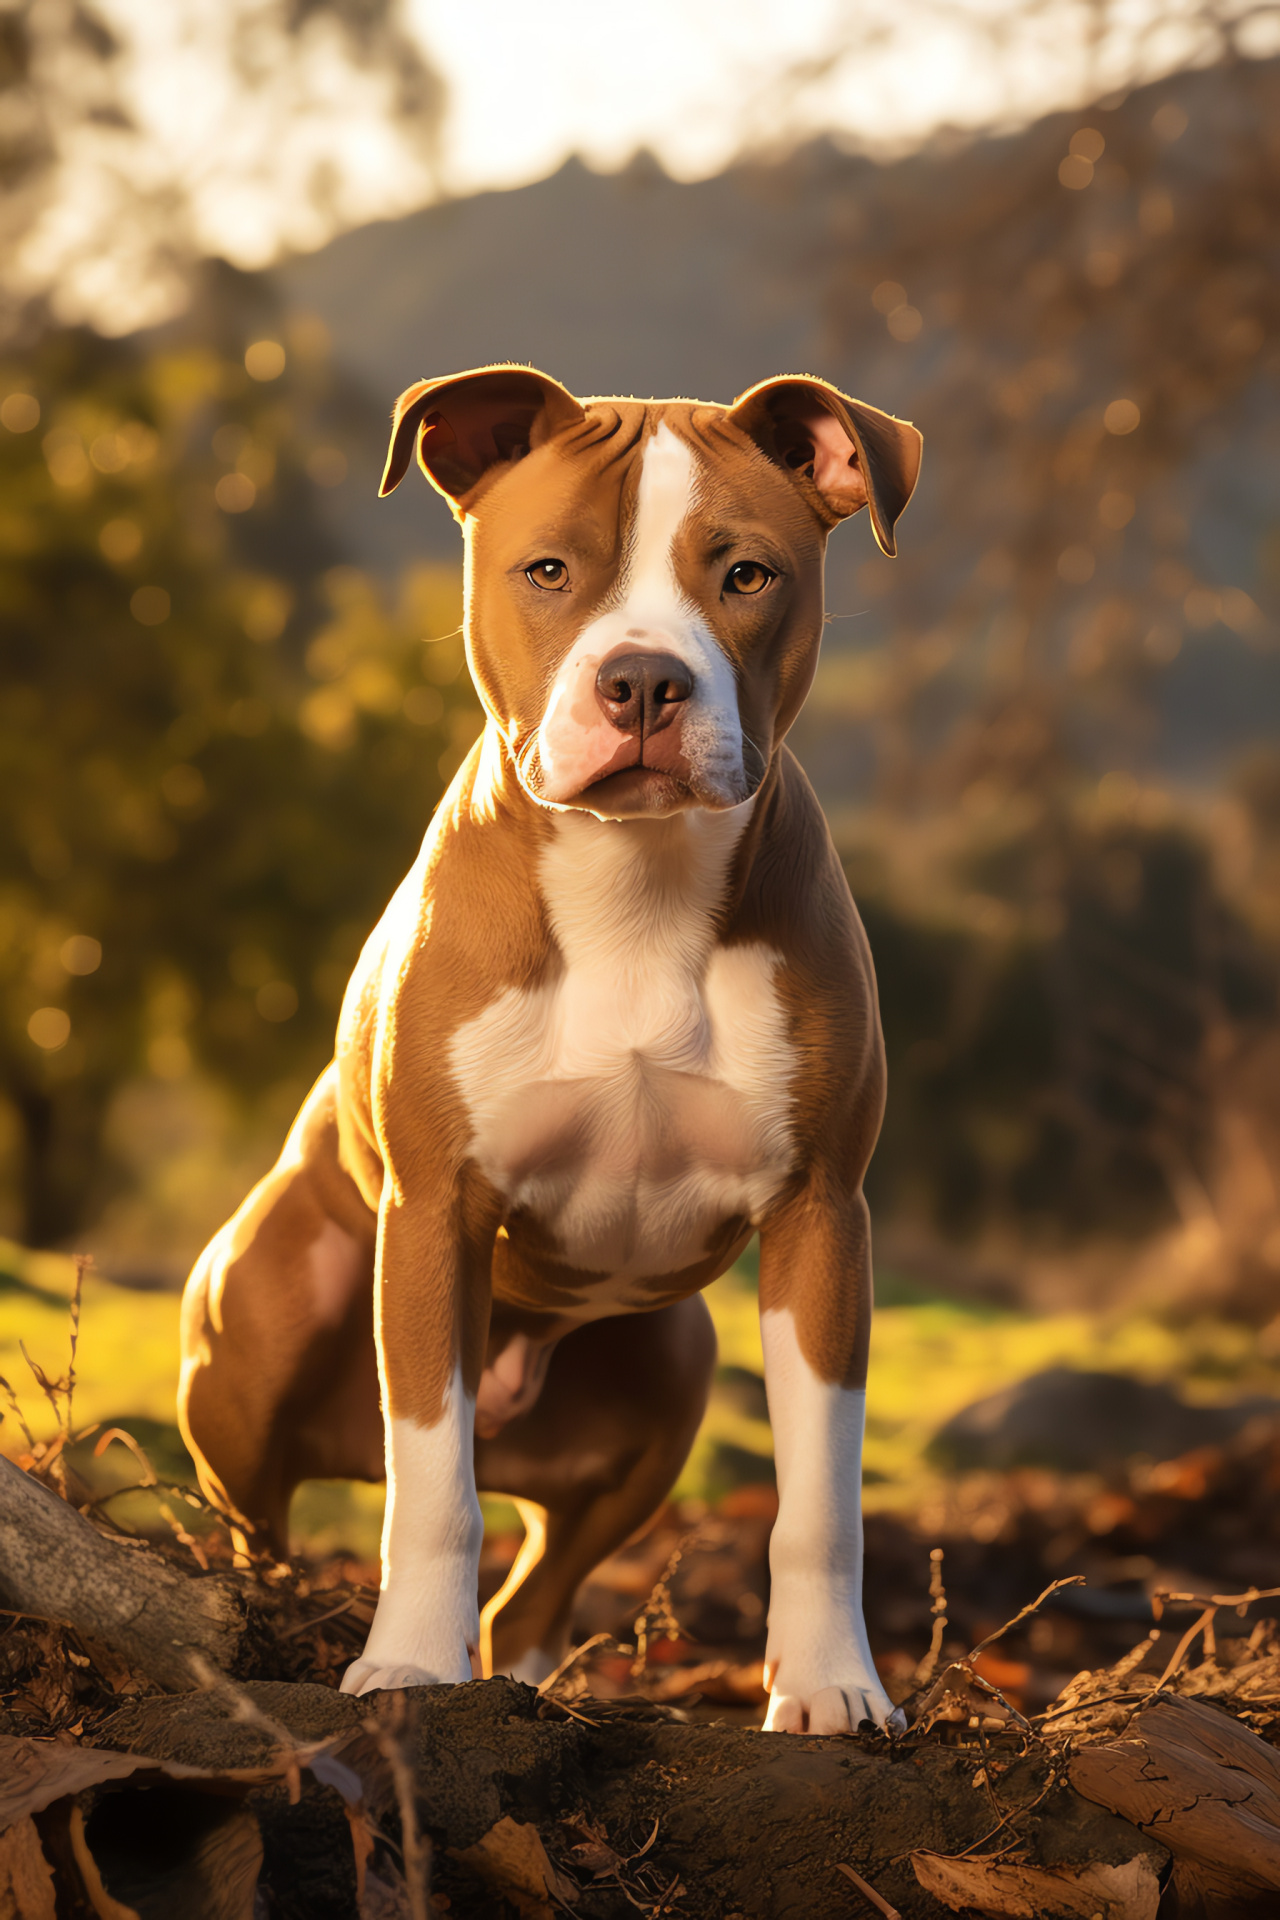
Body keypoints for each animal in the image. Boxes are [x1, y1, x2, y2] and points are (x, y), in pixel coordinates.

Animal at [177, 362, 921, 1743]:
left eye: (745, 574)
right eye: (547, 570)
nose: (641, 682)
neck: (632, 886)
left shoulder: (820, 1219)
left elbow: (819, 1505)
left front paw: (830, 1686)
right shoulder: (433, 1216)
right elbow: (432, 1487)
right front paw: (406, 1669)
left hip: (671, 1376)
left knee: (538, 1587)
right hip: (254, 1340)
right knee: (260, 1525)